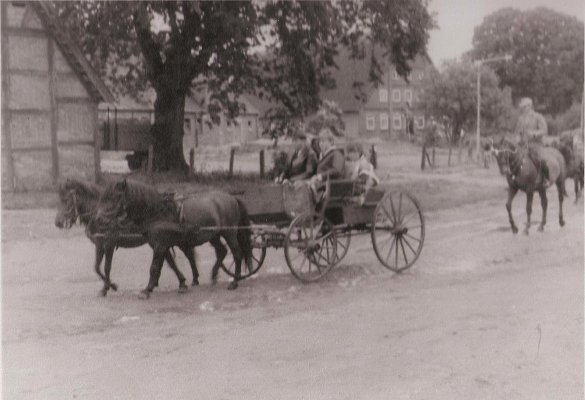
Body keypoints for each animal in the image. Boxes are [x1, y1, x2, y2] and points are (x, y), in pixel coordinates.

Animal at [56, 180, 200, 296]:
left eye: (66, 200)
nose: (57, 222)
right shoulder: (99, 245)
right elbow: (97, 267)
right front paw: (110, 286)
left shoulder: (109, 244)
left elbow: (106, 267)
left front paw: (108, 287)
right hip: (159, 241)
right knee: (170, 260)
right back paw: (179, 282)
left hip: (174, 240)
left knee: (188, 256)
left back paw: (192, 280)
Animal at [94, 180, 253, 298]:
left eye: (115, 197)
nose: (99, 219)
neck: (158, 213)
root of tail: (232, 197)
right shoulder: (161, 245)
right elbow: (170, 264)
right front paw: (180, 283)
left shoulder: (160, 245)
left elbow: (154, 267)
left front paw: (146, 290)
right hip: (213, 235)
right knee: (222, 251)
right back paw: (214, 275)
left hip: (229, 233)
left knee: (237, 253)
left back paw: (235, 281)